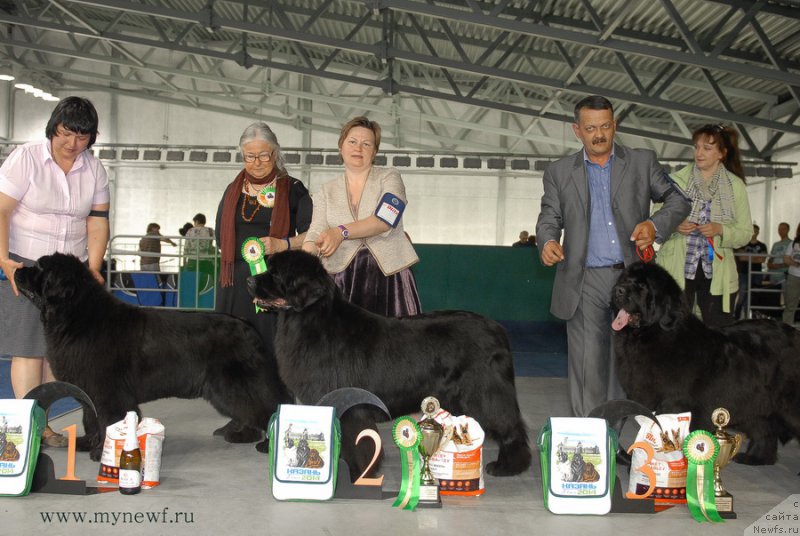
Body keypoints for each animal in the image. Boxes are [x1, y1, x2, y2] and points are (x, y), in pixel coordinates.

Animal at [15, 253, 290, 458]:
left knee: (263, 406)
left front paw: (103, 452)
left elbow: (108, 419)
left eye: (38, 267)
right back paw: (242, 435)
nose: (17, 269)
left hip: (235, 384)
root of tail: (248, 326)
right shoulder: (87, 390)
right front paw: (87, 443)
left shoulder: (108, 391)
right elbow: (89, 417)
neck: (76, 316)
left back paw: (267, 445)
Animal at [245, 249, 532, 476]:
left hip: (484, 394)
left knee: (510, 426)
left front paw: (360, 474)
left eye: (276, 274)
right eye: (267, 267)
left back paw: (509, 467)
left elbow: (358, 441)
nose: (248, 280)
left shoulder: (351, 405)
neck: (312, 320)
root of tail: (498, 329)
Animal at [612, 262, 800, 462]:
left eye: (642, 286)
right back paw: (755, 458)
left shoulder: (683, 405)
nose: (618, 290)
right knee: (764, 429)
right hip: (756, 402)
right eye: (625, 279)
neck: (656, 335)